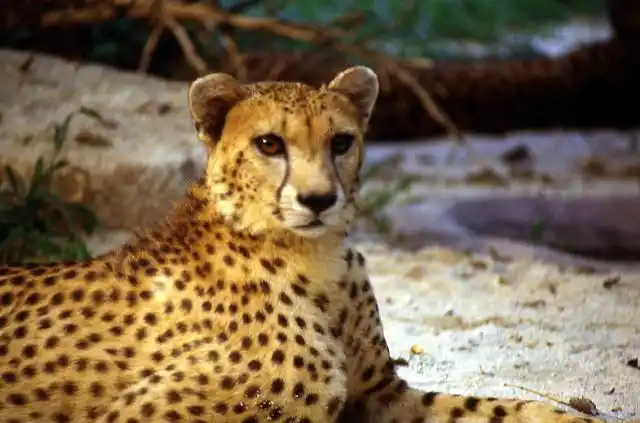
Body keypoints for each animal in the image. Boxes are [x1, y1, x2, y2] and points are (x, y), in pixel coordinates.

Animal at [0, 66, 628, 423]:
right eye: (269, 144)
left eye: (342, 142)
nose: (319, 199)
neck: (314, 258)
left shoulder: (381, 397)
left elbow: (490, 406)